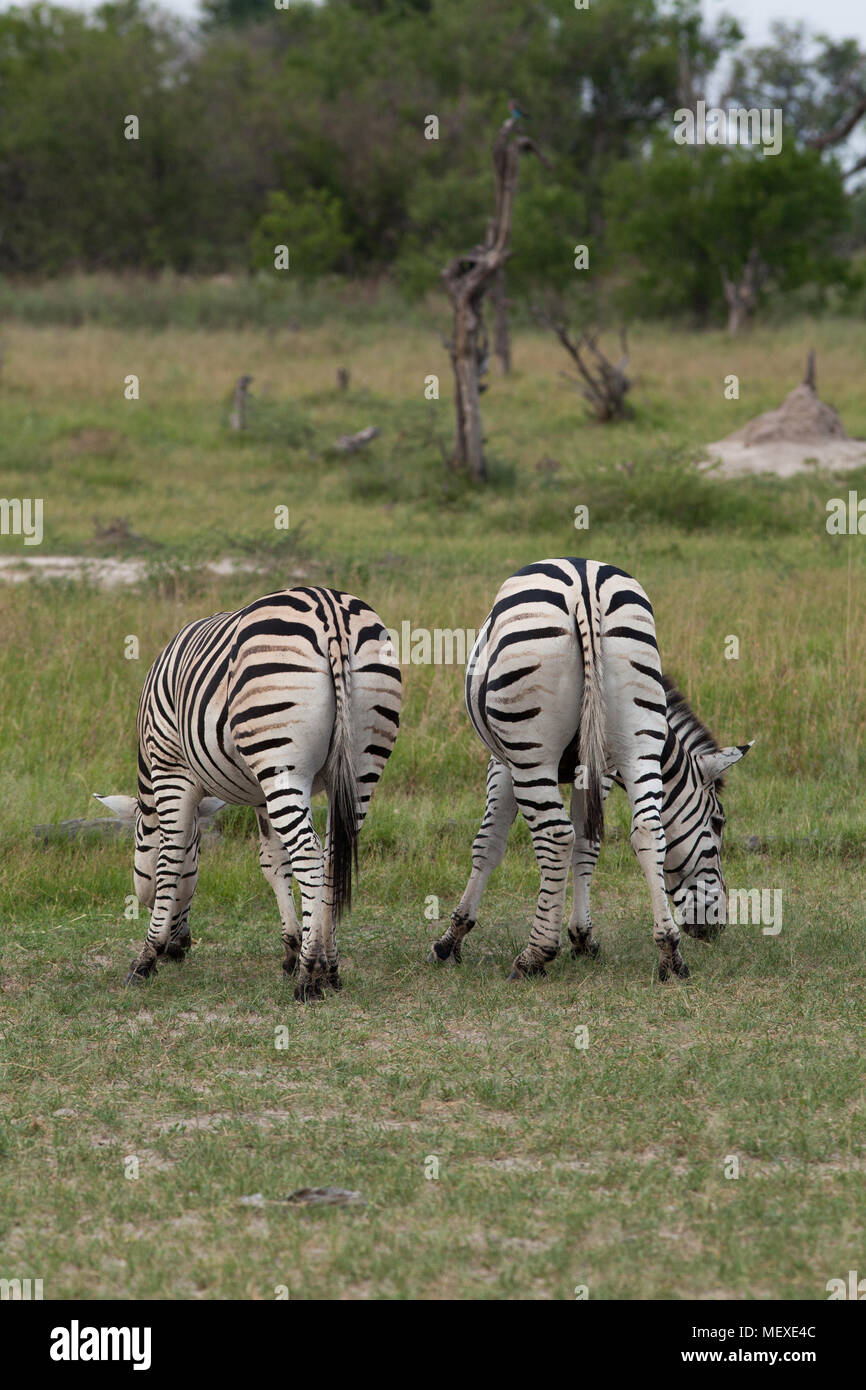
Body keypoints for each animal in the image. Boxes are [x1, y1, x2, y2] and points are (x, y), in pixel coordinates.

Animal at [99, 586, 401, 1000]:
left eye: (198, 857)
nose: (181, 949)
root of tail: (330, 610)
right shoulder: (261, 796)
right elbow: (272, 862)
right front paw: (291, 948)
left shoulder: (171, 771)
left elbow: (168, 861)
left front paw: (146, 957)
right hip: (360, 766)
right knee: (332, 855)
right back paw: (329, 967)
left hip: (282, 760)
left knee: (310, 854)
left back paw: (309, 977)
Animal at [430, 558, 752, 981]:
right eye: (718, 822)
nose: (717, 927)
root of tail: (585, 583)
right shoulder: (600, 769)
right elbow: (588, 841)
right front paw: (583, 937)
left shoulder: (502, 762)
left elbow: (489, 843)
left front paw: (452, 938)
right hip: (637, 732)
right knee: (647, 831)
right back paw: (669, 954)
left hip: (530, 749)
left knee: (555, 836)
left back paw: (534, 955)